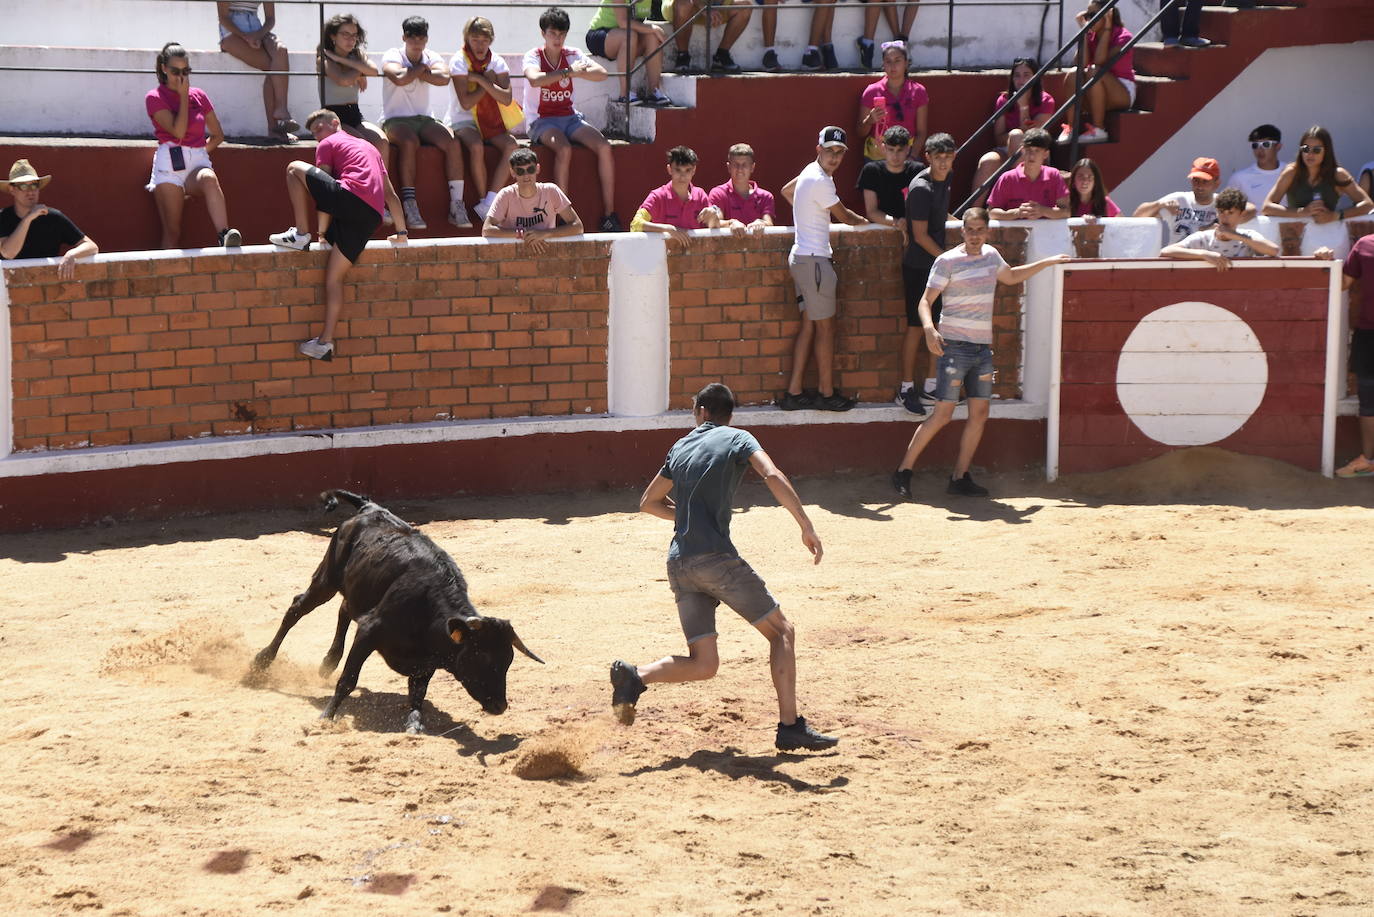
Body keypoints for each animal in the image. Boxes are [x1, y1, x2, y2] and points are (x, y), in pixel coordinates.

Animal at [252, 492, 541, 736]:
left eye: (508, 661)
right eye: (481, 657)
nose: (500, 706)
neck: (428, 612)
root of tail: (369, 507)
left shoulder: (426, 660)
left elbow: (418, 692)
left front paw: (414, 723)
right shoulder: (369, 632)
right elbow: (348, 680)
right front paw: (327, 716)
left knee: (344, 610)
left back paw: (328, 661)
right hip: (327, 579)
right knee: (297, 609)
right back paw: (261, 662)